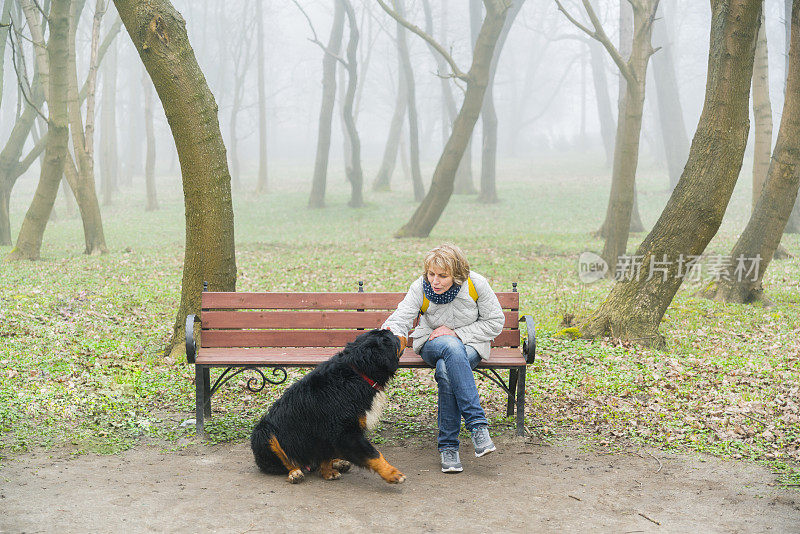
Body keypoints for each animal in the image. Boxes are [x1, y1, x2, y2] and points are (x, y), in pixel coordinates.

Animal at [252, 330, 406, 486]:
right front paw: (392, 473)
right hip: (264, 432)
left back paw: (337, 462)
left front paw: (327, 471)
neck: (358, 373)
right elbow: (374, 454)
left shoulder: (329, 432)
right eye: (393, 337)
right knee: (284, 461)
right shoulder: (344, 432)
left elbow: (326, 454)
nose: (404, 335)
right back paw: (295, 472)